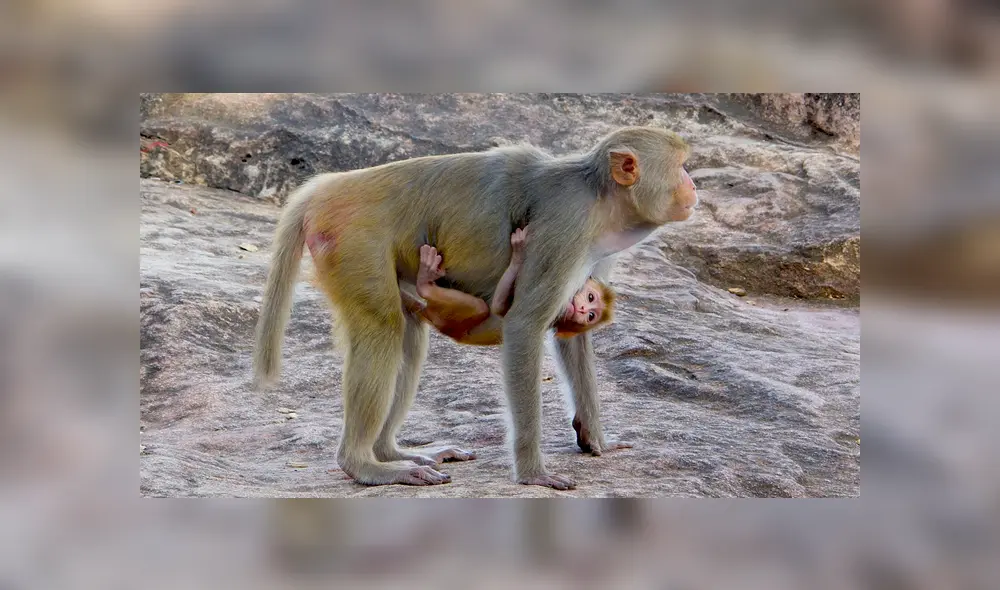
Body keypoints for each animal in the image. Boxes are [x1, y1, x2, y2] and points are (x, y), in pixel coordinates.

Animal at [398, 227, 616, 346]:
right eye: (590, 298)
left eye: (590, 316)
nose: (582, 310)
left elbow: (499, 306)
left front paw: (519, 253)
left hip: (448, 321)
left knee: (479, 307)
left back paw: (425, 279)